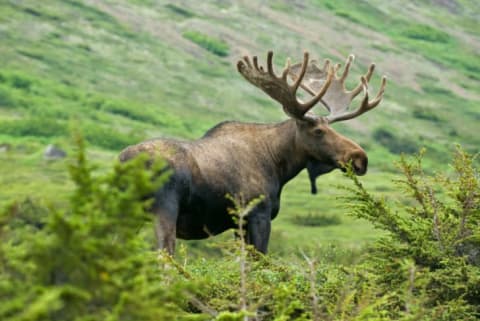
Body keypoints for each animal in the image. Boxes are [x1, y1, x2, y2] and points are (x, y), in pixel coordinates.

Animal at [119, 51, 386, 254]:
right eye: (319, 131)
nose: (360, 158)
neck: (278, 166)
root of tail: (124, 162)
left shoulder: (239, 224)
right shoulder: (257, 214)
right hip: (164, 207)